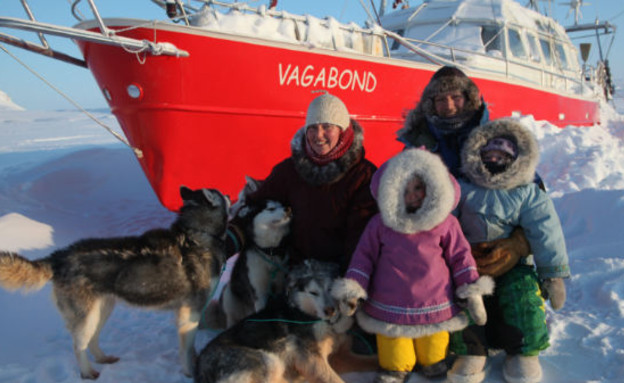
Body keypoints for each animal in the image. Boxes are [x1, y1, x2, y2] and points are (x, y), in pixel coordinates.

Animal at [0, 188, 229, 380]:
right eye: (219, 191)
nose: (229, 193)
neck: (197, 235)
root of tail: (59, 256)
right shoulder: (190, 313)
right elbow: (187, 350)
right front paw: (190, 372)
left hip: (102, 309)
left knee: (92, 340)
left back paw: (103, 358)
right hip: (87, 316)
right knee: (78, 345)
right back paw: (87, 372)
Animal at [193, 260, 354, 383]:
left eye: (330, 289)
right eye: (313, 293)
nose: (330, 310)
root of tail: (200, 367)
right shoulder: (311, 357)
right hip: (269, 360)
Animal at [219, 200, 292, 328]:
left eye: (282, 204)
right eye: (271, 208)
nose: (288, 208)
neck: (270, 252)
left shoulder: (279, 286)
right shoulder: (258, 291)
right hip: (229, 295)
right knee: (231, 319)